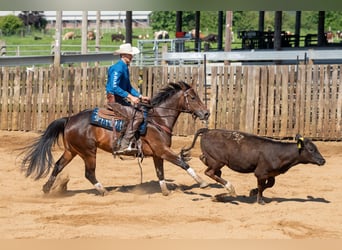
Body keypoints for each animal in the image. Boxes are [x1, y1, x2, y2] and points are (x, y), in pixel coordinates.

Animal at [21, 81, 210, 196]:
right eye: (193, 97)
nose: (206, 113)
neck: (158, 119)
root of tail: (69, 119)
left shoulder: (158, 154)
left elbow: (160, 173)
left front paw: (165, 191)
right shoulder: (163, 150)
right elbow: (182, 163)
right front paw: (202, 182)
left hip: (72, 151)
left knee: (58, 166)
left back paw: (46, 188)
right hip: (88, 152)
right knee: (89, 173)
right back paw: (103, 191)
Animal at [180, 128, 324, 204]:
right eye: (311, 149)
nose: (323, 161)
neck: (279, 153)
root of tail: (207, 130)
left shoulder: (271, 174)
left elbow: (269, 185)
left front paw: (252, 192)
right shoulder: (261, 172)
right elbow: (261, 186)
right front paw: (260, 200)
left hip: (213, 160)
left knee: (205, 162)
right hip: (218, 161)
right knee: (209, 172)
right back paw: (230, 188)